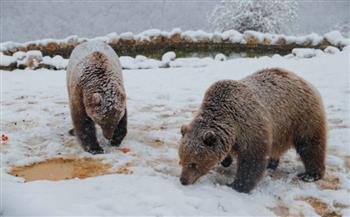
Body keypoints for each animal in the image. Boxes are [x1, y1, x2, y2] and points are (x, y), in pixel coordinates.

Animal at [179, 68, 326, 193]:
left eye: (193, 164)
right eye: (181, 160)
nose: (183, 180)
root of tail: (301, 79)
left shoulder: (250, 126)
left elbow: (252, 159)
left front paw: (237, 185)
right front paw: (226, 160)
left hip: (300, 116)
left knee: (310, 145)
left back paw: (310, 174)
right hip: (280, 127)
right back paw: (271, 164)